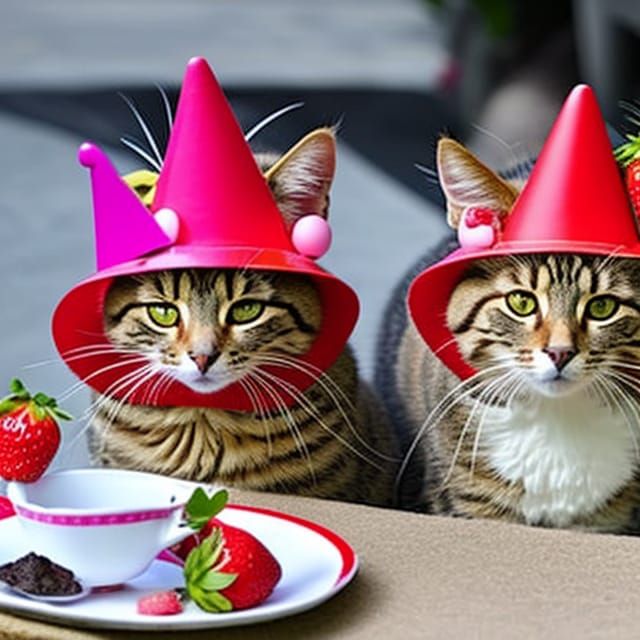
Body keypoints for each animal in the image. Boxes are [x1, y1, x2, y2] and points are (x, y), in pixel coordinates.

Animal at [380, 138, 640, 532]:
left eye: (602, 307)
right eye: (521, 302)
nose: (560, 353)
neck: (558, 419)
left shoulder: (608, 520)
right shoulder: (469, 500)